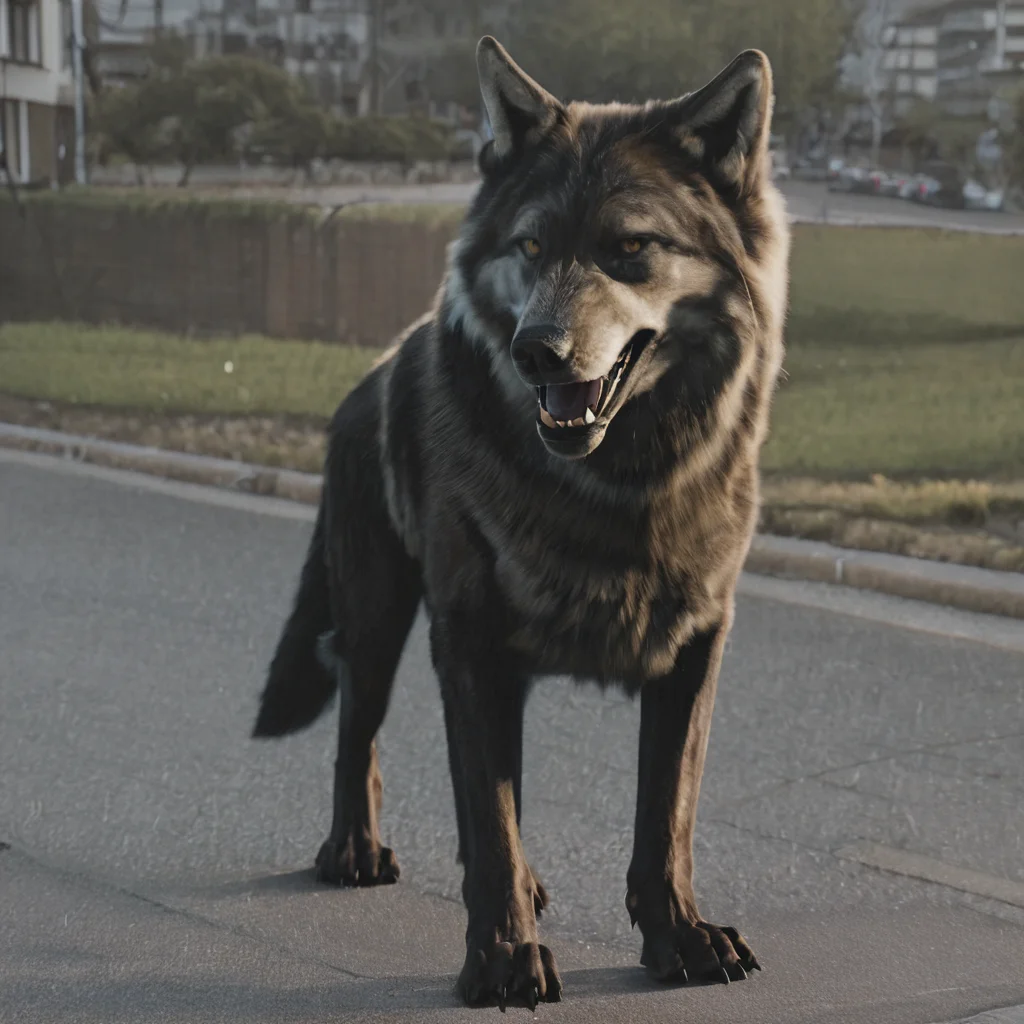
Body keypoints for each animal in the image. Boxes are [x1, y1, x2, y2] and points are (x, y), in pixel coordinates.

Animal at [253, 35, 789, 1010]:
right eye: (532, 245)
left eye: (631, 249)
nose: (534, 349)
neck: (618, 486)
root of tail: (374, 369)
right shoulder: (471, 646)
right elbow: (490, 813)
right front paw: (503, 959)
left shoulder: (695, 648)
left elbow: (665, 814)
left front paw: (678, 937)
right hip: (376, 616)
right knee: (358, 733)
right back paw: (353, 849)